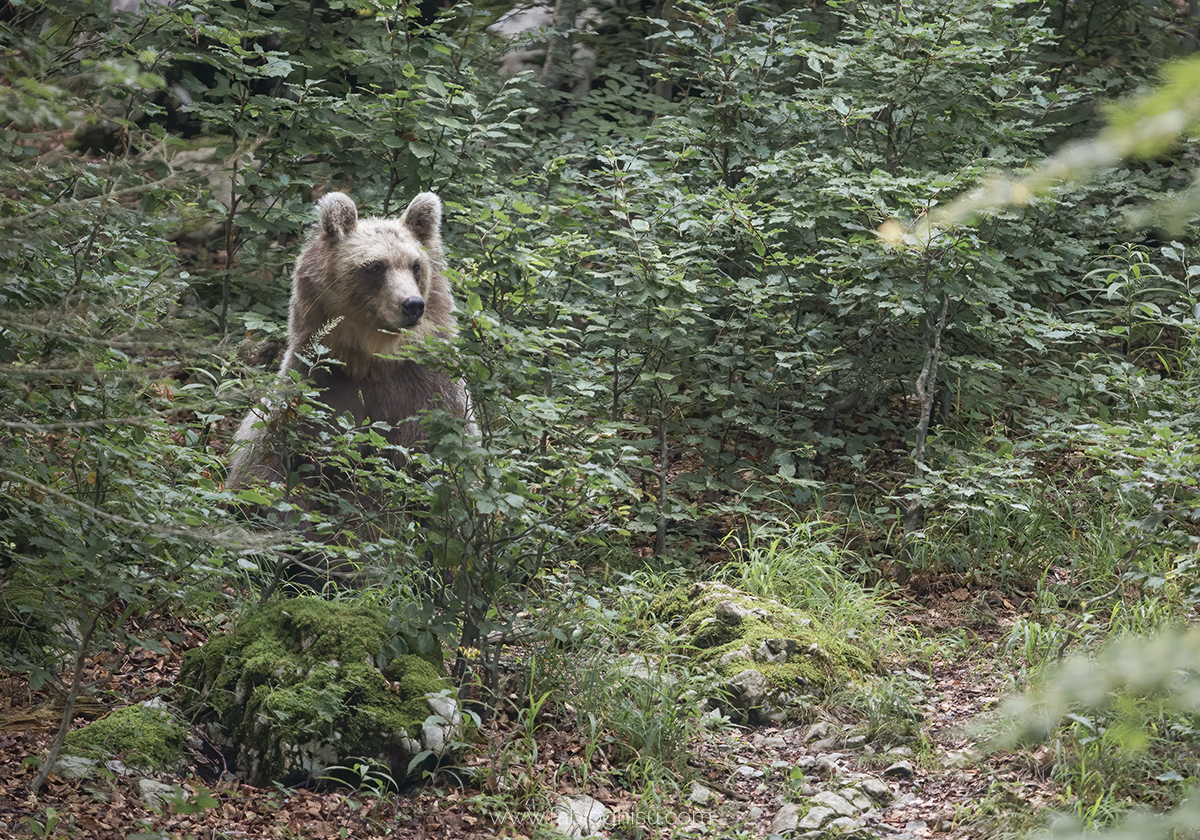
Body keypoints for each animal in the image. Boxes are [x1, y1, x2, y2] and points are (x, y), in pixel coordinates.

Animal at [226, 190, 470, 492]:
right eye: (375, 266)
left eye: (415, 265)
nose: (412, 305)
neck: (372, 361)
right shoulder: (315, 390)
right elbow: (262, 462)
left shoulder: (428, 391)